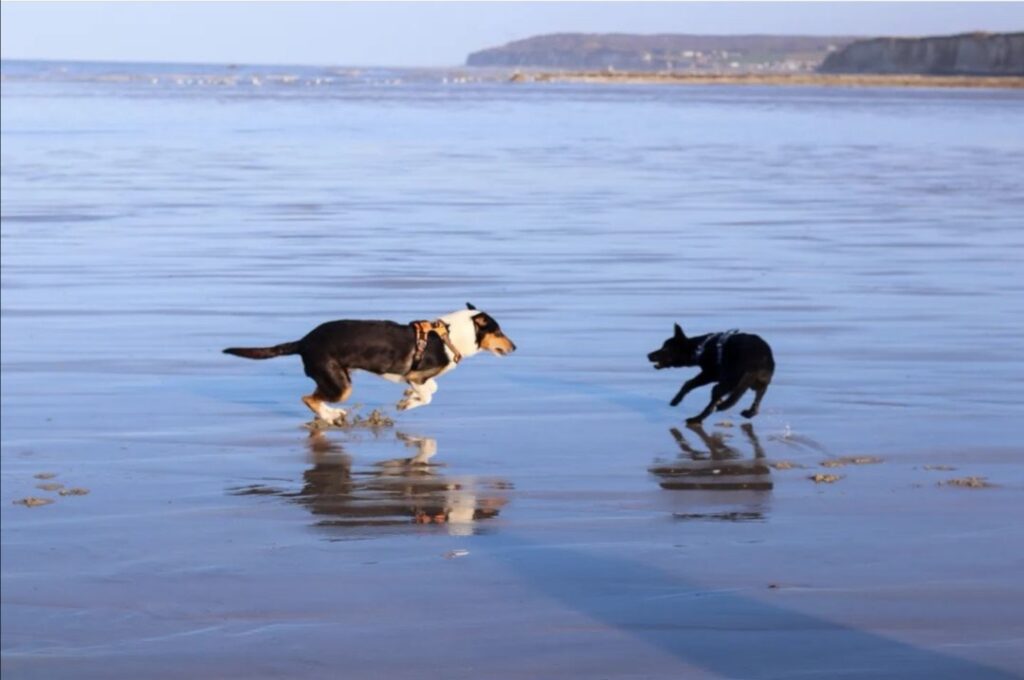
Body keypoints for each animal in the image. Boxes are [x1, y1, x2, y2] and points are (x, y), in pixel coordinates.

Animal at [223, 301, 512, 419]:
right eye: (498, 332)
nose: (515, 347)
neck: (449, 336)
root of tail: (304, 341)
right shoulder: (415, 375)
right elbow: (429, 392)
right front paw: (407, 403)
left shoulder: (413, 377)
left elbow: (429, 389)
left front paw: (407, 398)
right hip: (340, 384)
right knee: (307, 399)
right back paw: (331, 416)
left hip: (336, 379)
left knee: (312, 397)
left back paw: (332, 415)